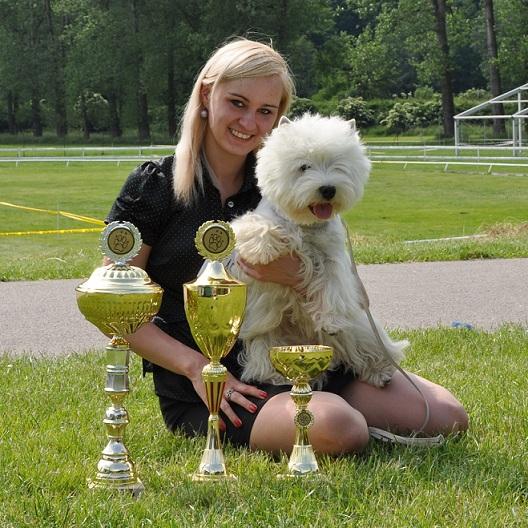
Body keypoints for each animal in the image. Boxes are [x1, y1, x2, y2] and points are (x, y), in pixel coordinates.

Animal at [229, 114, 406, 388]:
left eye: (338, 165)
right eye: (304, 167)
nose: (328, 189)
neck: (305, 225)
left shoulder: (332, 258)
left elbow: (331, 287)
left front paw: (331, 321)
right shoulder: (259, 225)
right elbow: (257, 227)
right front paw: (262, 249)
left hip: (360, 326)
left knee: (369, 348)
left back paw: (381, 372)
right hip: (267, 333)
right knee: (264, 355)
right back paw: (275, 376)